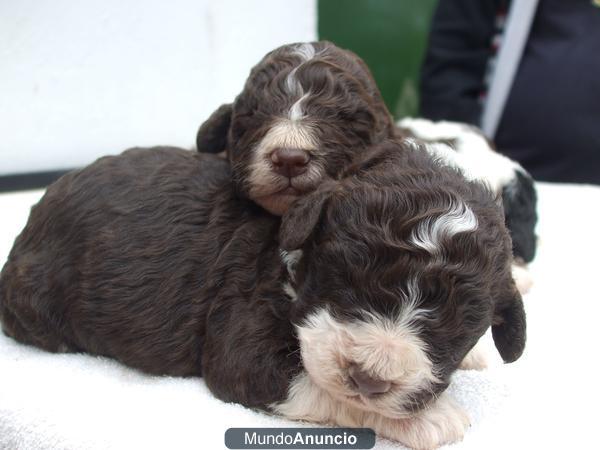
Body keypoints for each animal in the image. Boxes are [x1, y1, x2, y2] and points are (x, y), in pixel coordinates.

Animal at [0, 143, 524, 450]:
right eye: (345, 282)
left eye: (455, 324)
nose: (368, 378)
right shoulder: (242, 335)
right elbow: (319, 386)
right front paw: (430, 420)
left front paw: (473, 357)